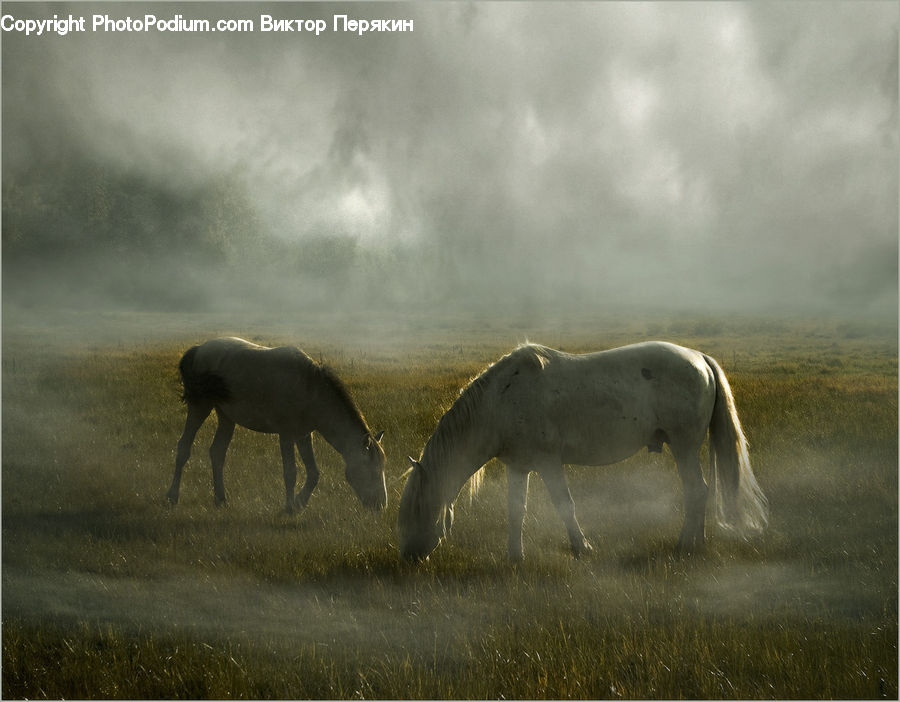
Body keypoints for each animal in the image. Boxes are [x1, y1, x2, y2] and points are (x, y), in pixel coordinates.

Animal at [167, 337, 387, 512]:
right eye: (370, 468)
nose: (381, 505)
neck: (310, 390)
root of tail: (198, 349)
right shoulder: (286, 435)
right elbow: (290, 472)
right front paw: (289, 507)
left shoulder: (304, 435)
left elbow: (313, 473)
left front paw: (299, 503)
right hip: (200, 407)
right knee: (184, 447)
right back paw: (172, 496)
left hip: (226, 417)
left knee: (217, 453)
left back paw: (220, 499)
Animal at [398, 341, 768, 561]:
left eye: (417, 508)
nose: (409, 557)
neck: (501, 401)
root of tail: (700, 359)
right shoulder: (519, 466)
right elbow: (516, 510)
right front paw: (514, 557)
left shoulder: (548, 462)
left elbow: (565, 505)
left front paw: (581, 547)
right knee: (699, 492)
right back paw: (697, 543)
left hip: (684, 445)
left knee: (696, 491)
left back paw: (685, 545)